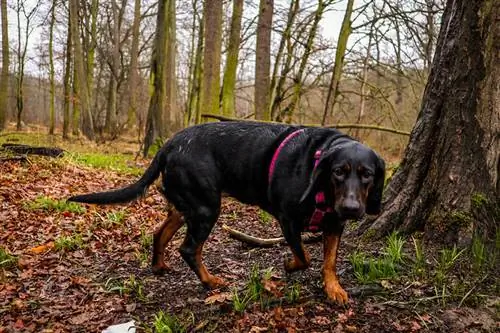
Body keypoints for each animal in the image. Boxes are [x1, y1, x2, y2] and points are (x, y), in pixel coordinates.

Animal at [68, 120, 384, 302]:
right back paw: (209, 281)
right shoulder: (287, 220)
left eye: (367, 174)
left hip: (185, 207)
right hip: (206, 208)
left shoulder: (335, 224)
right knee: (189, 248)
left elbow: (329, 261)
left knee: (160, 233)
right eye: (338, 172)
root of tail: (169, 145)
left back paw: (159, 265)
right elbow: (303, 256)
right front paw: (289, 266)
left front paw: (334, 289)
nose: (352, 208)